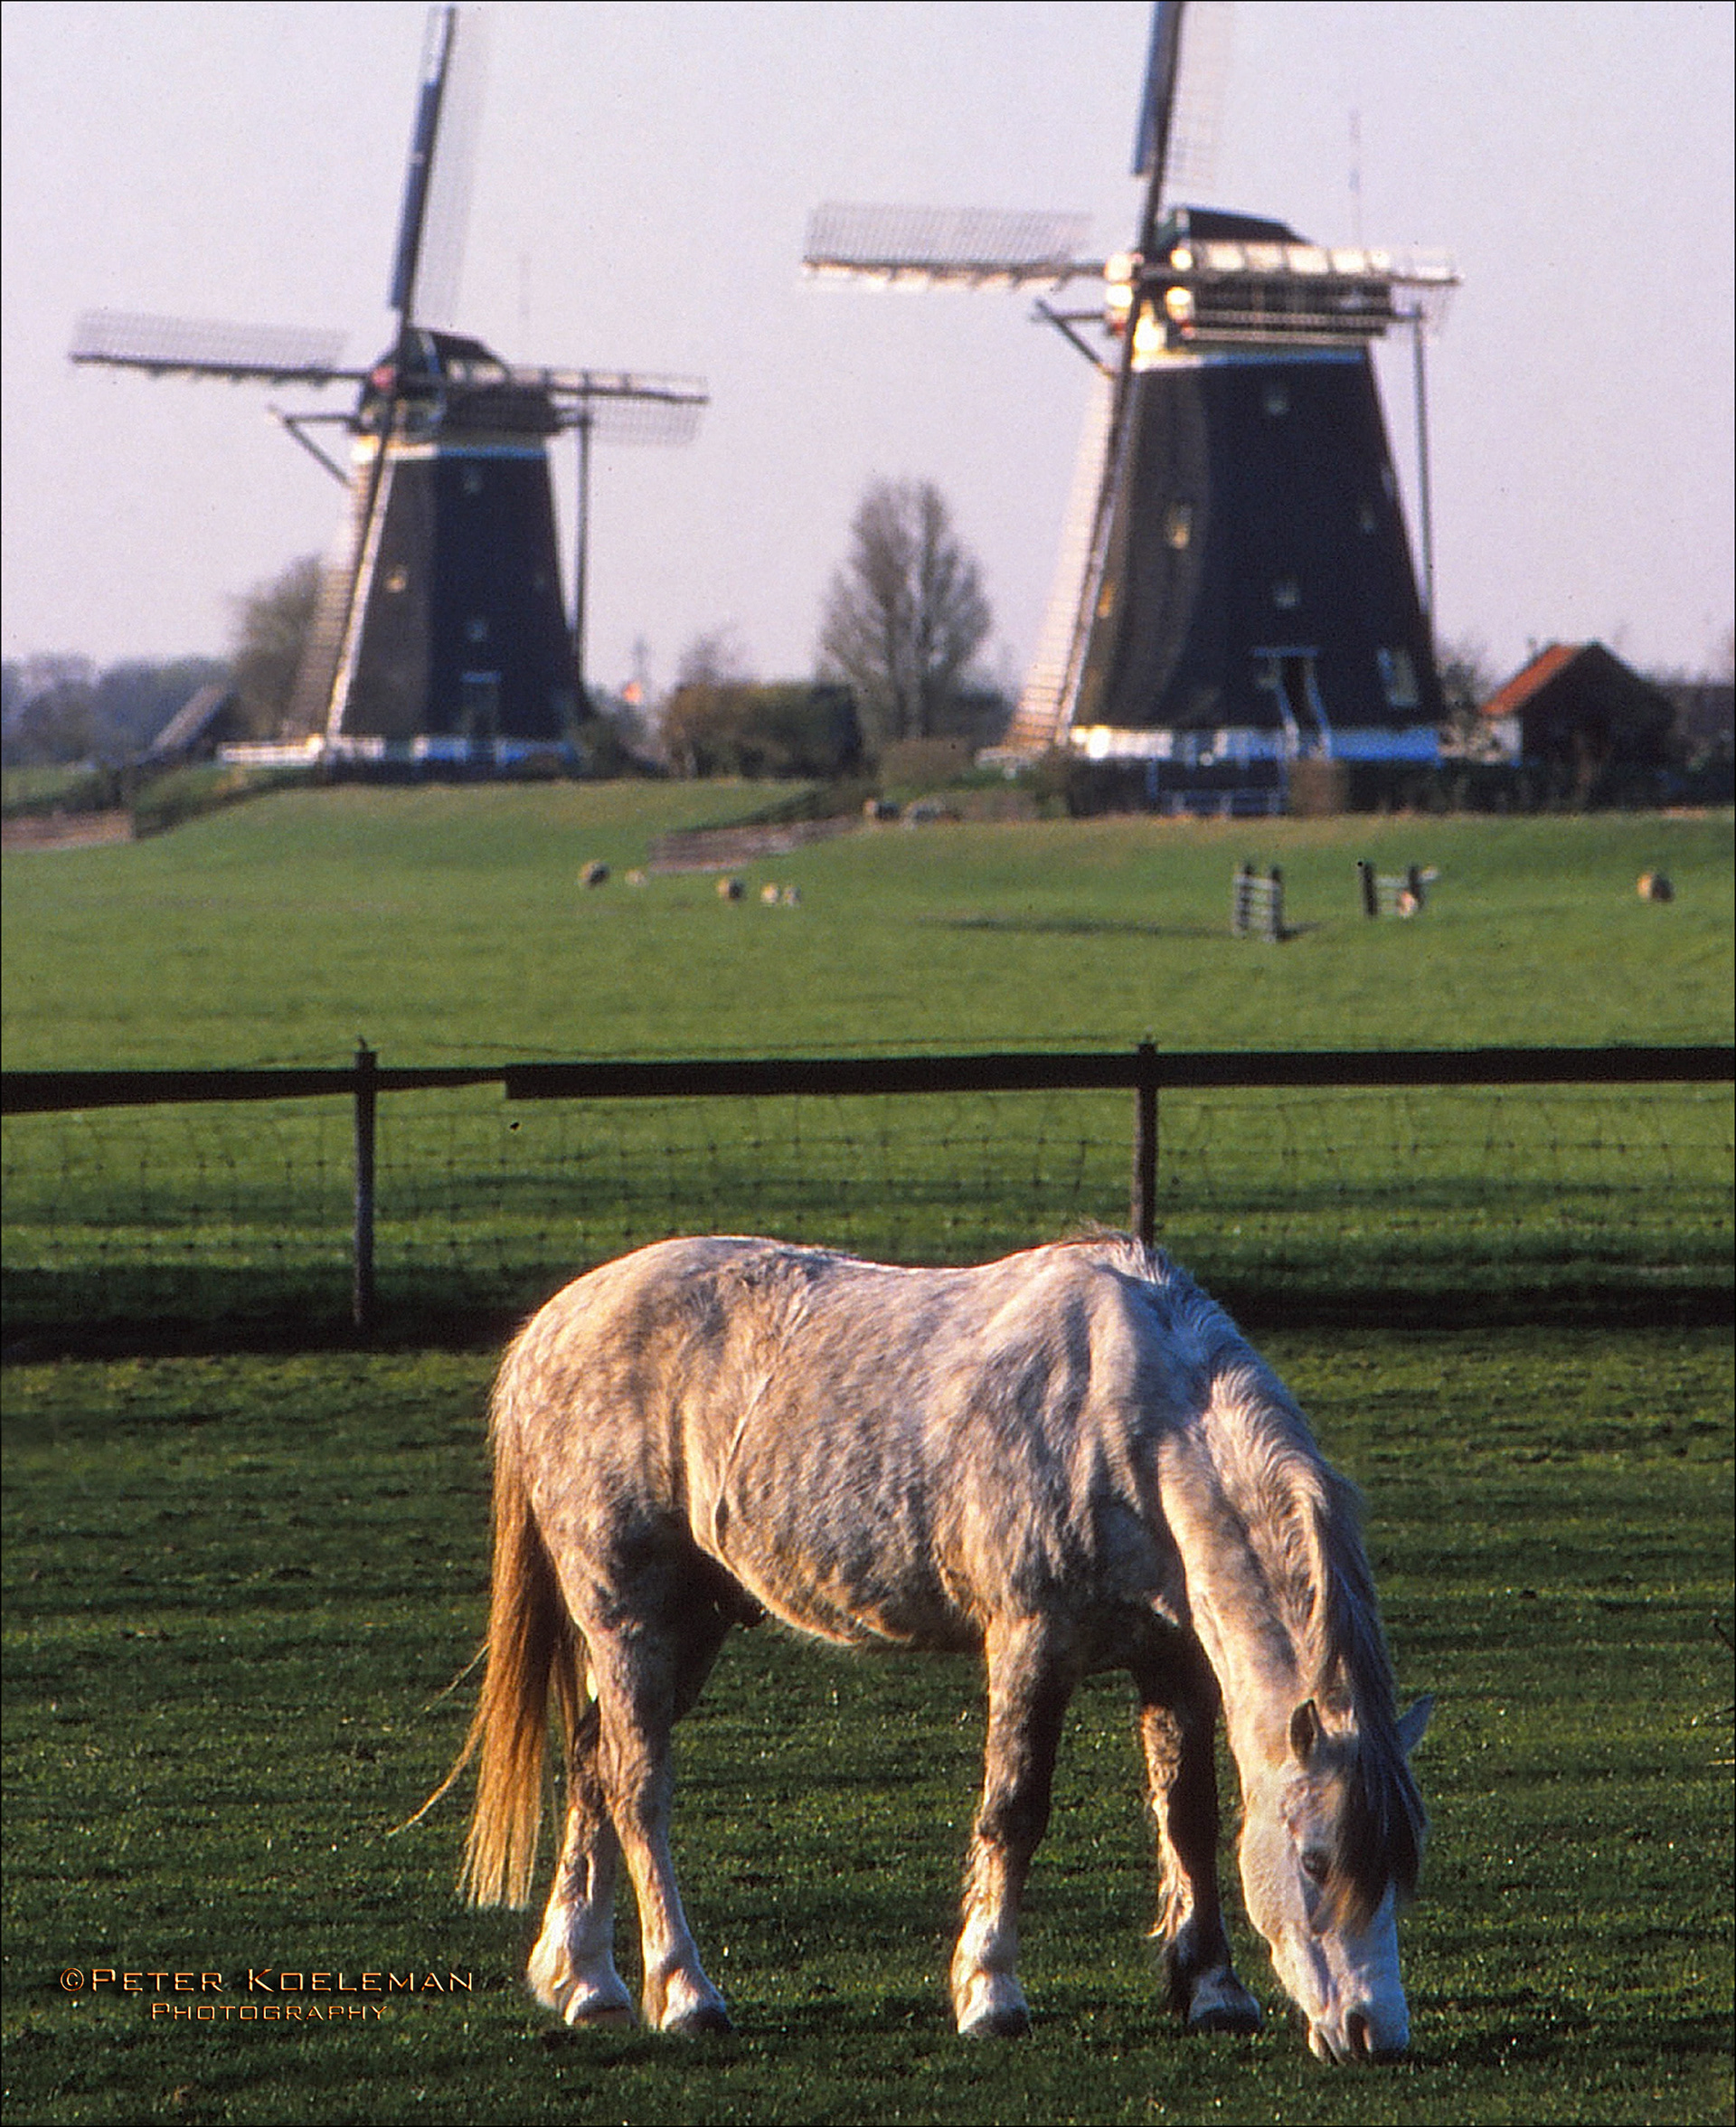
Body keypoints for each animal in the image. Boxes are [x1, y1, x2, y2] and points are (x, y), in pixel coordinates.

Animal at [434, 1233, 1431, 2062]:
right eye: (1315, 1860)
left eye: (1399, 1867)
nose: (1373, 2032)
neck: (1134, 1421)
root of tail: (550, 1329)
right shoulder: (1031, 1643)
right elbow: (1014, 1813)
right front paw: (989, 1993)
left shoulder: (1173, 1661)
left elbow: (1185, 1817)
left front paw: (1213, 1991)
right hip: (629, 1622)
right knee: (640, 1793)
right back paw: (684, 1994)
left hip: (690, 1623)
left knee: (594, 1764)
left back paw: (586, 1982)